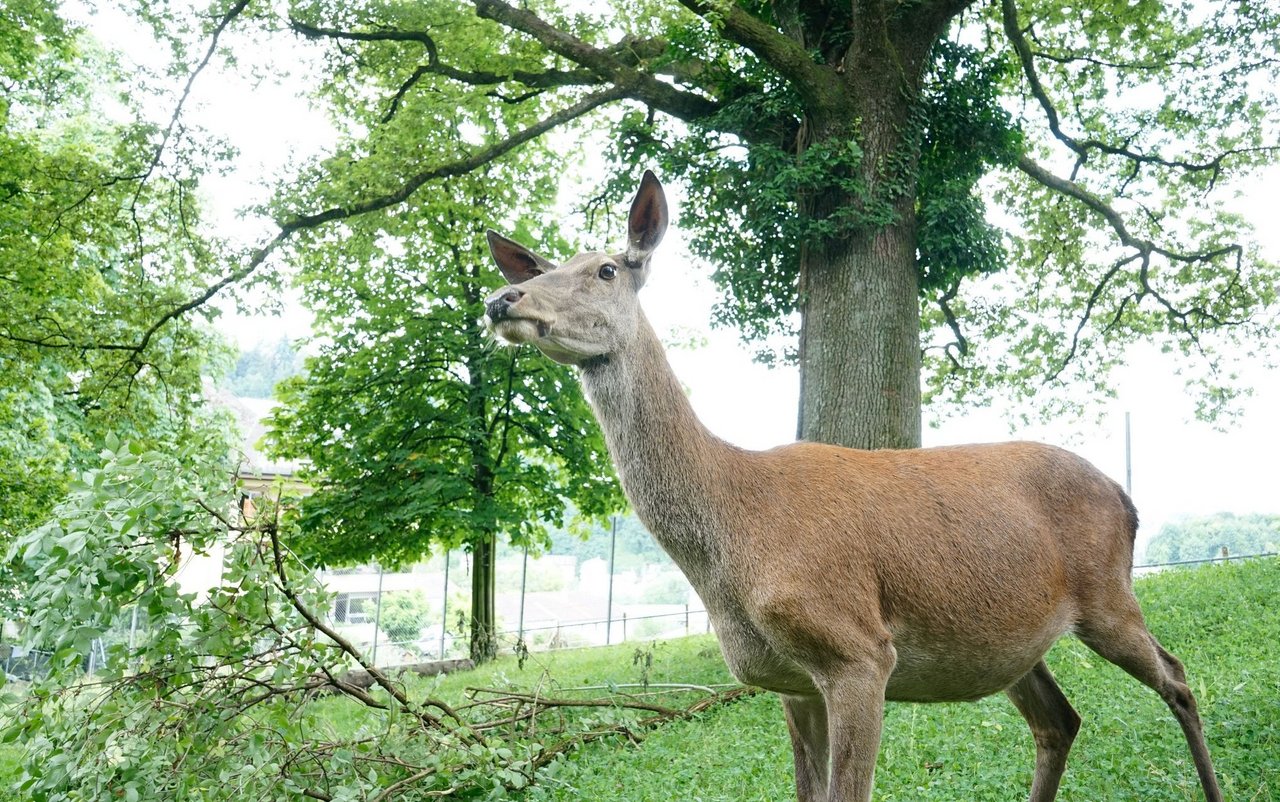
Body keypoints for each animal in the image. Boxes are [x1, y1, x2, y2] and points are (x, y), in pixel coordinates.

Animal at [481, 171, 1218, 802]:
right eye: (541, 270)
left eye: (606, 269)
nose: (500, 299)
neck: (733, 531)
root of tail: (1127, 500)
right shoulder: (789, 681)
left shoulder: (859, 651)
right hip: (1014, 639)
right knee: (1059, 721)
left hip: (1108, 594)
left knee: (1179, 679)